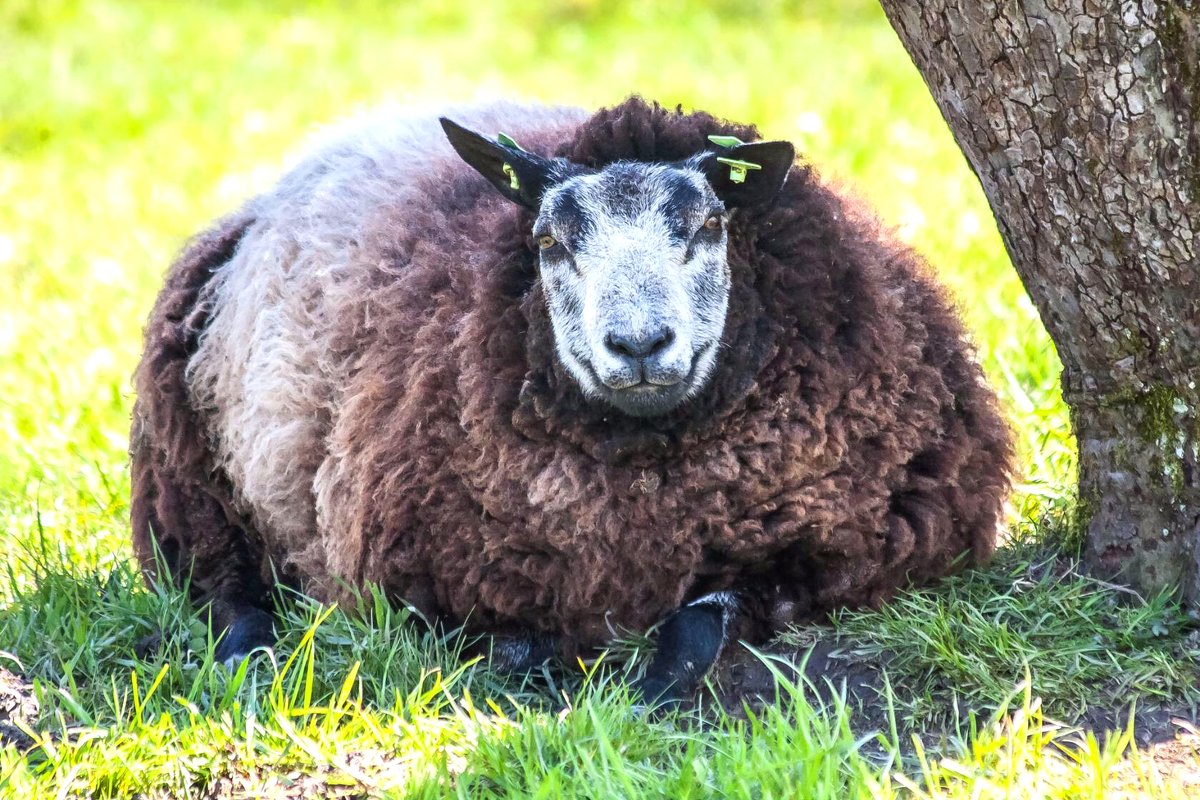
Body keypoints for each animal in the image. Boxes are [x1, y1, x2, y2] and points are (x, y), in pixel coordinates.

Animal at [131, 97, 1012, 705]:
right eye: (550, 242)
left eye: (707, 226)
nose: (639, 344)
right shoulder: (428, 581)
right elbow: (513, 650)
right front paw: (566, 677)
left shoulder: (842, 549)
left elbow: (702, 621)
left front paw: (647, 691)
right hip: (189, 472)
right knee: (222, 579)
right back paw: (249, 654)